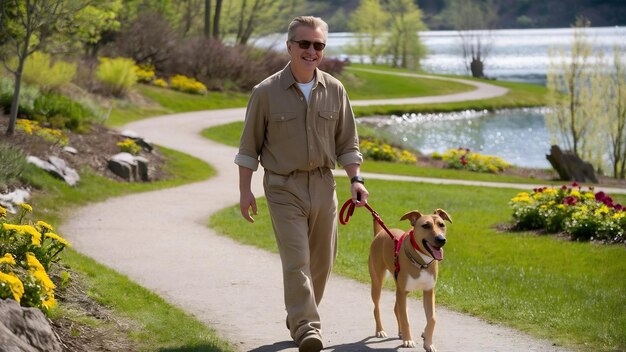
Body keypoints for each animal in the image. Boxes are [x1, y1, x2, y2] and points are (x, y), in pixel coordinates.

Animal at [368, 209, 450, 352]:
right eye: (426, 225)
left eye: (441, 224)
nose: (441, 240)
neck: (422, 262)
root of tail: (380, 232)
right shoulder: (403, 292)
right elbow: (405, 318)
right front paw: (408, 340)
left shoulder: (428, 291)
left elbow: (432, 319)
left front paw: (428, 342)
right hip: (377, 282)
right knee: (377, 307)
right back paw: (380, 330)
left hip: (398, 288)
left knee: (397, 309)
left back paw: (401, 332)